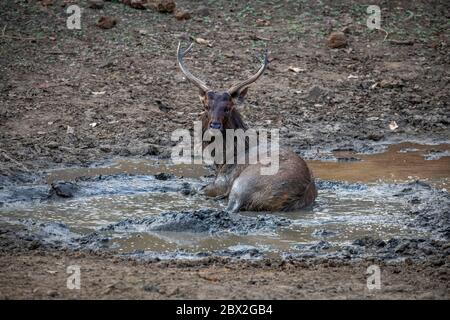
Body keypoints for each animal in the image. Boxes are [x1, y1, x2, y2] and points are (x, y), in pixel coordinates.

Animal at [176, 42, 316, 212]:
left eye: (228, 108)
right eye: (206, 106)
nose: (214, 125)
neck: (223, 159)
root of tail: (299, 194)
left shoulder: (222, 181)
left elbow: (196, 188)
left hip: (242, 183)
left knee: (231, 205)